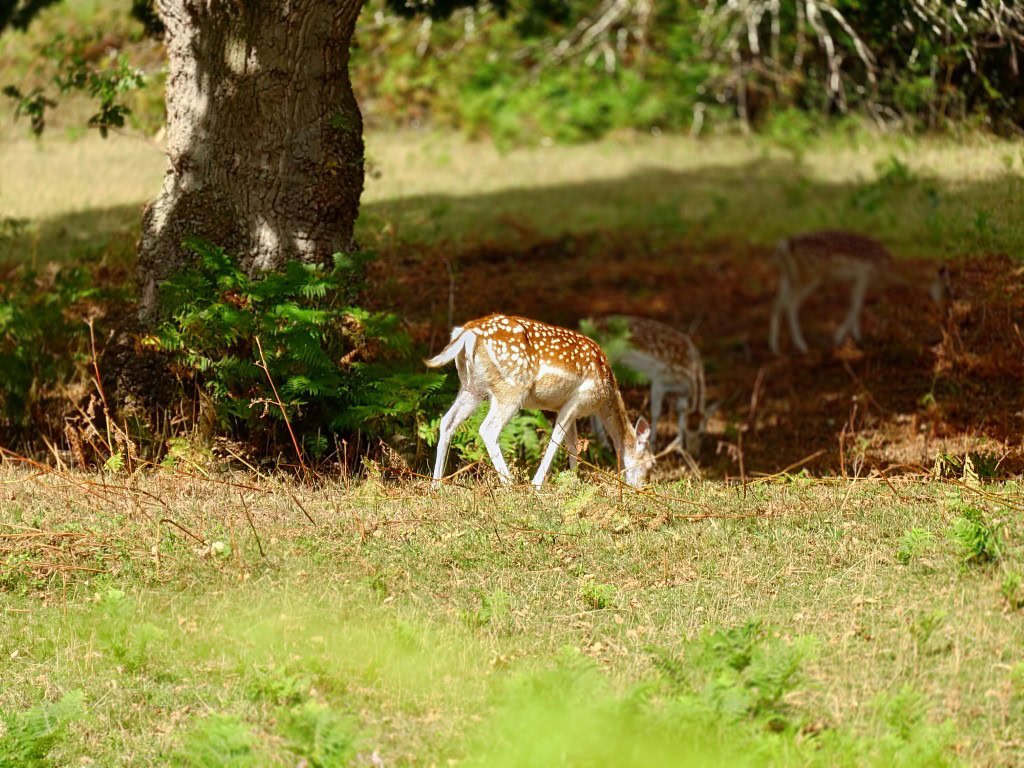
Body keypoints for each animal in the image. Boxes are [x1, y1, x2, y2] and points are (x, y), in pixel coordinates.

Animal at [425, 314, 652, 489]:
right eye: (649, 464)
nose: (642, 487)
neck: (607, 389)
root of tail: (466, 333)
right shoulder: (579, 399)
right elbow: (557, 439)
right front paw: (537, 484)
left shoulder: (566, 408)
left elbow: (572, 444)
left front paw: (574, 482)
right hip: (511, 388)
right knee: (488, 428)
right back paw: (509, 484)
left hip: (472, 387)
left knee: (447, 421)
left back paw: (436, 484)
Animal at [588, 315, 713, 456]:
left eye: (702, 434)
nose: (693, 452)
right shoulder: (659, 380)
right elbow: (656, 412)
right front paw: (653, 445)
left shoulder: (682, 394)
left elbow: (680, 414)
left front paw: (679, 448)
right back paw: (604, 444)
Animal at [768, 230, 950, 356]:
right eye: (948, 289)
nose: (947, 313)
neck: (887, 271)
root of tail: (783, 246)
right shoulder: (863, 275)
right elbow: (856, 305)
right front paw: (839, 337)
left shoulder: (858, 281)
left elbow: (856, 305)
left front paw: (857, 338)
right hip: (809, 276)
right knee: (791, 305)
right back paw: (801, 346)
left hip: (788, 277)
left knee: (778, 303)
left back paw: (775, 348)